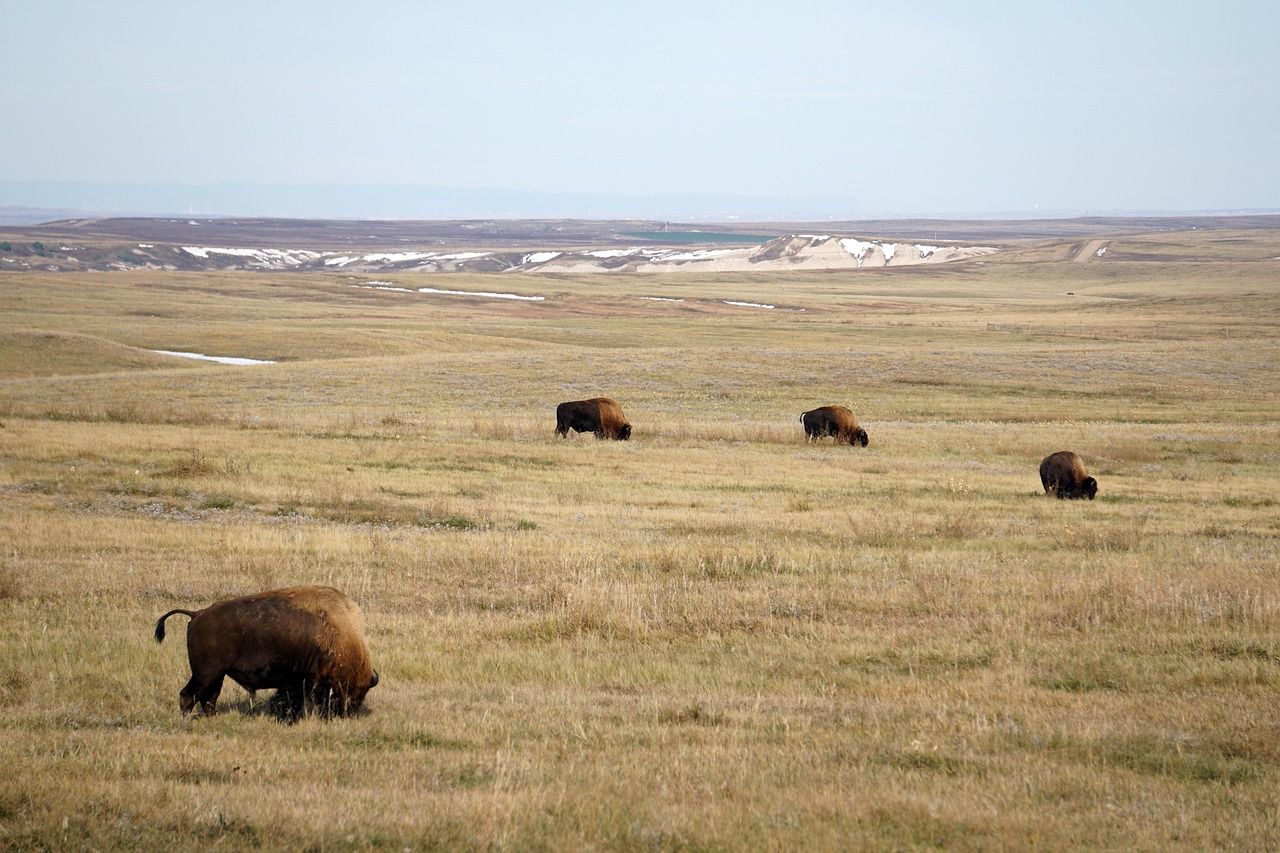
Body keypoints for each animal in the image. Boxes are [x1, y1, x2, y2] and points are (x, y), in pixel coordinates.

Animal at [154, 585, 378, 718]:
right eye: (353, 690)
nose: (347, 713)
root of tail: (197, 614)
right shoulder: (301, 680)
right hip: (205, 674)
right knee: (188, 695)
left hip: (217, 675)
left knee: (209, 698)